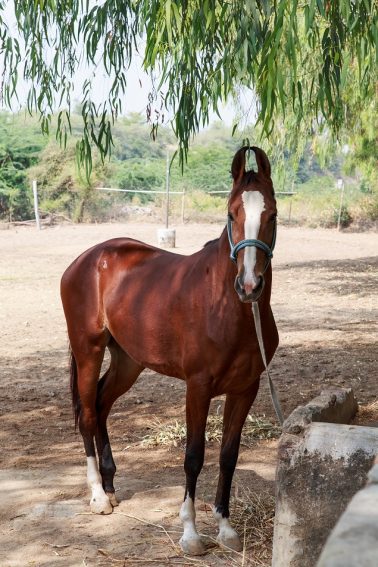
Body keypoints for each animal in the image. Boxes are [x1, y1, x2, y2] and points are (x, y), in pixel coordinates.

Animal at [59, 145, 278, 556]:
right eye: (231, 214)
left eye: (271, 214)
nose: (249, 285)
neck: (227, 308)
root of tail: (88, 259)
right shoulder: (198, 387)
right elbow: (193, 456)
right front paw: (190, 533)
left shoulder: (247, 388)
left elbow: (228, 455)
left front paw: (225, 528)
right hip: (88, 351)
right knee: (88, 415)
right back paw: (98, 496)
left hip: (128, 361)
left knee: (101, 403)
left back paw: (111, 486)